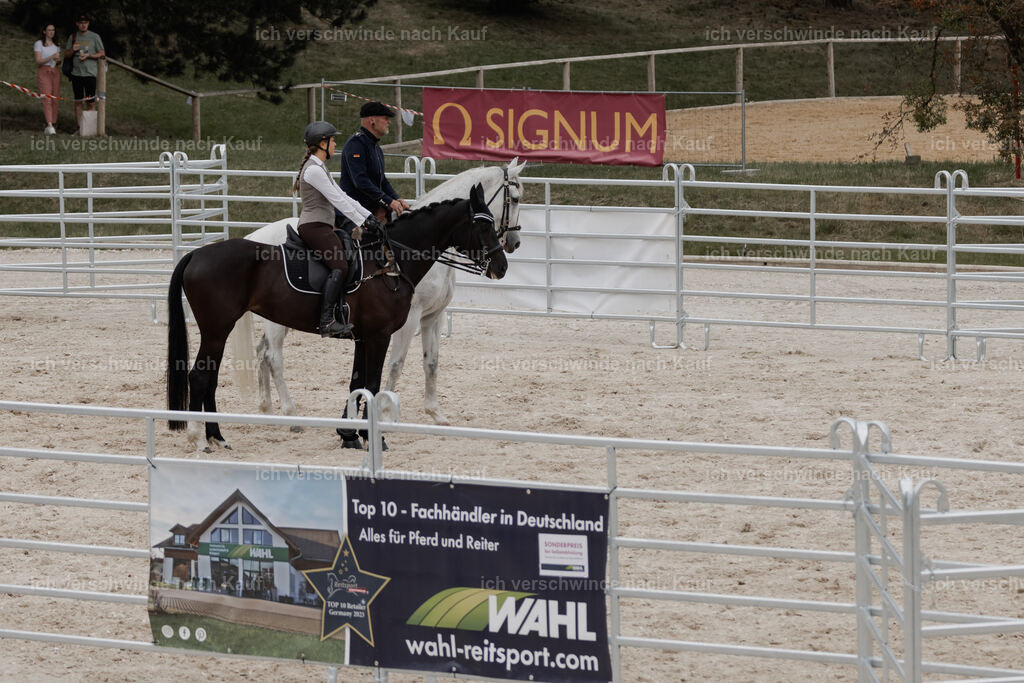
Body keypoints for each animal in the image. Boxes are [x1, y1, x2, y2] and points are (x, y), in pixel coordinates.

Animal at [167, 183, 507, 452]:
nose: (502, 265)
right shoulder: (381, 335)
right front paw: (372, 438)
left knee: (213, 375)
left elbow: (357, 382)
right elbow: (372, 382)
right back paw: (199, 437)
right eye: (483, 227)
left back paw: (217, 436)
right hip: (218, 329)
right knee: (202, 376)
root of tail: (197, 254)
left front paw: (349, 434)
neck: (388, 262)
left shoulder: (364, 336)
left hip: (221, 330)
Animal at [236, 159, 526, 426]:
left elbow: (431, 363)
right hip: (277, 321)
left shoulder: (432, 317)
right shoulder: (408, 319)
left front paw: (435, 413)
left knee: (262, 351)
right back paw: (290, 413)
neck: (402, 254)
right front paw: (385, 412)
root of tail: (255, 237)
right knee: (273, 356)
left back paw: (267, 409)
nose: (513, 245)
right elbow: (396, 364)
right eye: (514, 198)